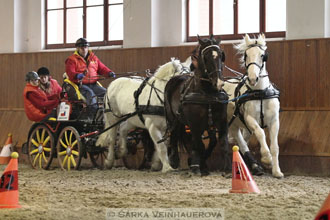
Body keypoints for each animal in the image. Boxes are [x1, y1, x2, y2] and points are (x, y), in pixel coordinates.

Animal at [164, 35, 231, 175]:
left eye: (221, 55)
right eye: (206, 57)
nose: (219, 82)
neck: (207, 92)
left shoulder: (221, 120)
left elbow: (222, 143)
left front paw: (227, 169)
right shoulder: (194, 123)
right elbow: (199, 145)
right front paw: (200, 166)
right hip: (173, 118)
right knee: (174, 134)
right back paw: (175, 159)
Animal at [224, 34, 284, 179]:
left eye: (263, 55)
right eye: (246, 55)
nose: (252, 78)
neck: (260, 92)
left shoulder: (274, 121)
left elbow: (275, 146)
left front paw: (276, 171)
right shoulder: (250, 118)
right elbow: (261, 132)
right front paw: (266, 158)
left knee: (243, 141)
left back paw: (254, 167)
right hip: (232, 123)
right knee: (241, 143)